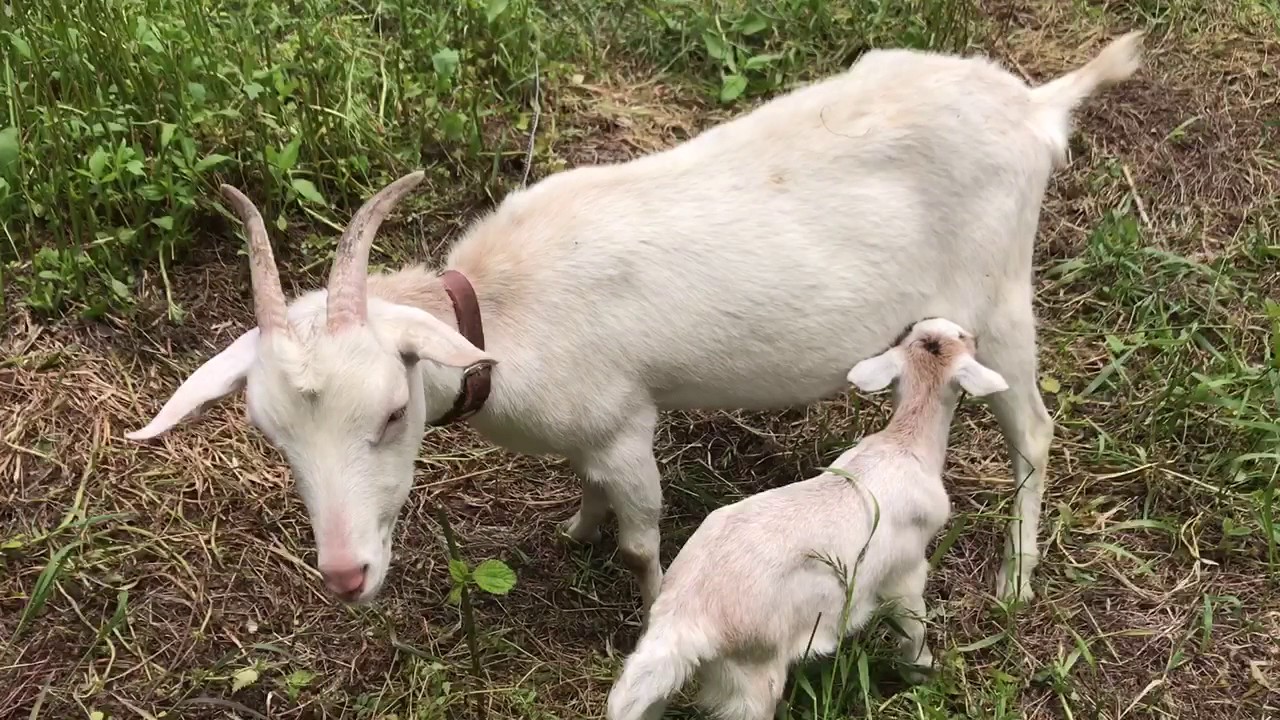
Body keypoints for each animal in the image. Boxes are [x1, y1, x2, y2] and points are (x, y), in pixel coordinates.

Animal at [124, 32, 1141, 604]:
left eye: (391, 412)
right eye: (271, 434)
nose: (344, 578)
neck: (500, 314)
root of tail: (1036, 106)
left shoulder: (624, 425)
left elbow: (643, 534)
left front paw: (644, 600)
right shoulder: (587, 432)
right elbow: (592, 497)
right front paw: (574, 528)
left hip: (1001, 296)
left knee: (1036, 430)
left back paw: (1016, 580)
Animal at [609, 317, 1008, 717]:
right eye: (962, 336)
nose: (973, 334)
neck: (905, 442)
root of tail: (683, 618)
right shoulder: (906, 571)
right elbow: (915, 627)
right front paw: (922, 672)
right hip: (753, 674)